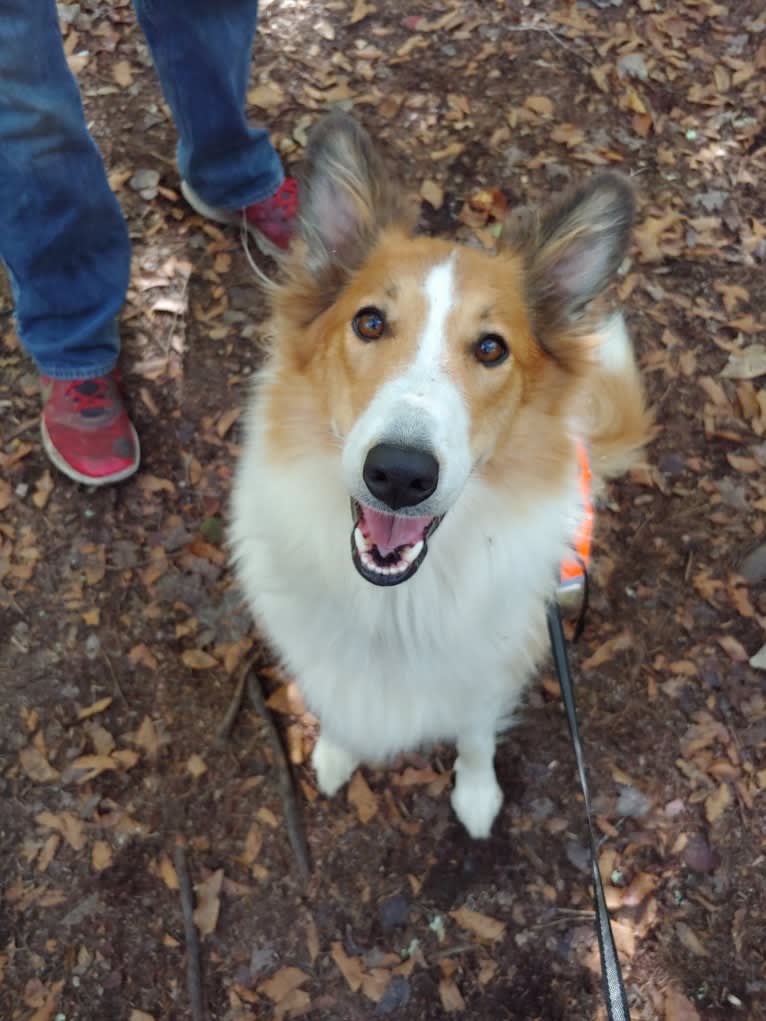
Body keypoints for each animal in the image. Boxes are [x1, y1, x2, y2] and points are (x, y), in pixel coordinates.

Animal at [229, 115, 653, 841]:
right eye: (369, 321)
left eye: (491, 348)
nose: (400, 475)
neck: (397, 605)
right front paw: (337, 749)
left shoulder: (489, 670)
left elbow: (476, 735)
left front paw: (476, 794)